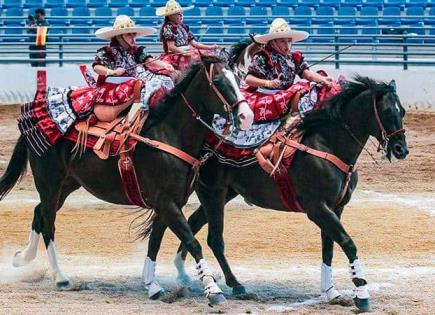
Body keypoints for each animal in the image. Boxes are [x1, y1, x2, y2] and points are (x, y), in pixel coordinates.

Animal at [0, 56, 255, 306]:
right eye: (219, 81)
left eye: (239, 79)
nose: (246, 117)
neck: (168, 135)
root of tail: (33, 120)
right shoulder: (166, 203)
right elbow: (192, 242)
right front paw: (213, 290)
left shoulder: (170, 203)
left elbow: (155, 242)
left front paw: (153, 286)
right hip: (49, 181)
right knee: (48, 222)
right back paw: (60, 277)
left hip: (67, 184)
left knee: (39, 213)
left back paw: (22, 258)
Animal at [146, 76, 408, 314]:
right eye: (386, 112)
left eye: (402, 111)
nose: (401, 149)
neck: (327, 144)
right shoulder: (317, 208)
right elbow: (348, 243)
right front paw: (361, 295)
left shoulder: (335, 208)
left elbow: (329, 249)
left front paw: (330, 292)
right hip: (213, 192)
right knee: (212, 238)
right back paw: (228, 285)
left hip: (224, 193)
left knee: (193, 224)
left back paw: (188, 275)